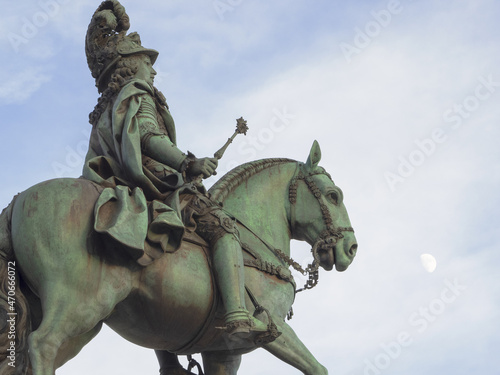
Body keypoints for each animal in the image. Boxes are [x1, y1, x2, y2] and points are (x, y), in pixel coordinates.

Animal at [0, 142, 360, 375]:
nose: (351, 248)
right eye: (333, 196)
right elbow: (318, 369)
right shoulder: (275, 329)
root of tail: (19, 200)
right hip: (80, 305)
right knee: (42, 345)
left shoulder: (222, 354)